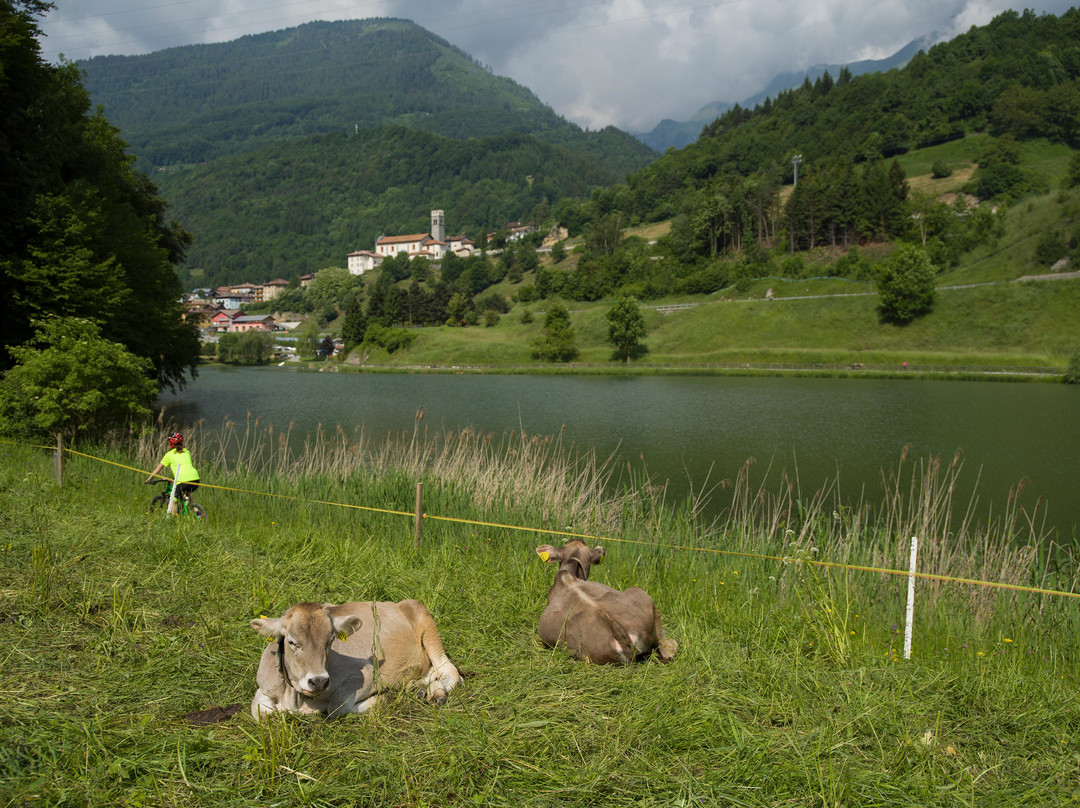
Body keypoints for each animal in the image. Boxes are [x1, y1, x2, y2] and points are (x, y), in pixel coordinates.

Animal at [251, 600, 460, 721]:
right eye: (292, 642)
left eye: (331, 640)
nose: (318, 681)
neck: (295, 698)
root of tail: (396, 603)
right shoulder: (264, 687)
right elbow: (259, 711)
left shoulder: (366, 675)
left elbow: (336, 707)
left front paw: (383, 697)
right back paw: (419, 689)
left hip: (422, 616)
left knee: (449, 671)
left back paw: (435, 692)